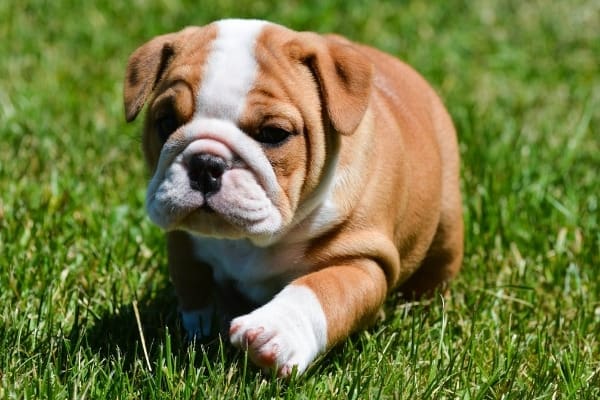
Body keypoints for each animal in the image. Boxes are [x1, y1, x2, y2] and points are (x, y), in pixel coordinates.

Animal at [123, 18, 464, 376]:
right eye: (166, 122)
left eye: (274, 134)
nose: (206, 164)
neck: (251, 240)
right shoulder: (184, 241)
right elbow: (192, 281)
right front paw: (202, 329)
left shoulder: (362, 261)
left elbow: (320, 290)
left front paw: (275, 332)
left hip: (445, 224)